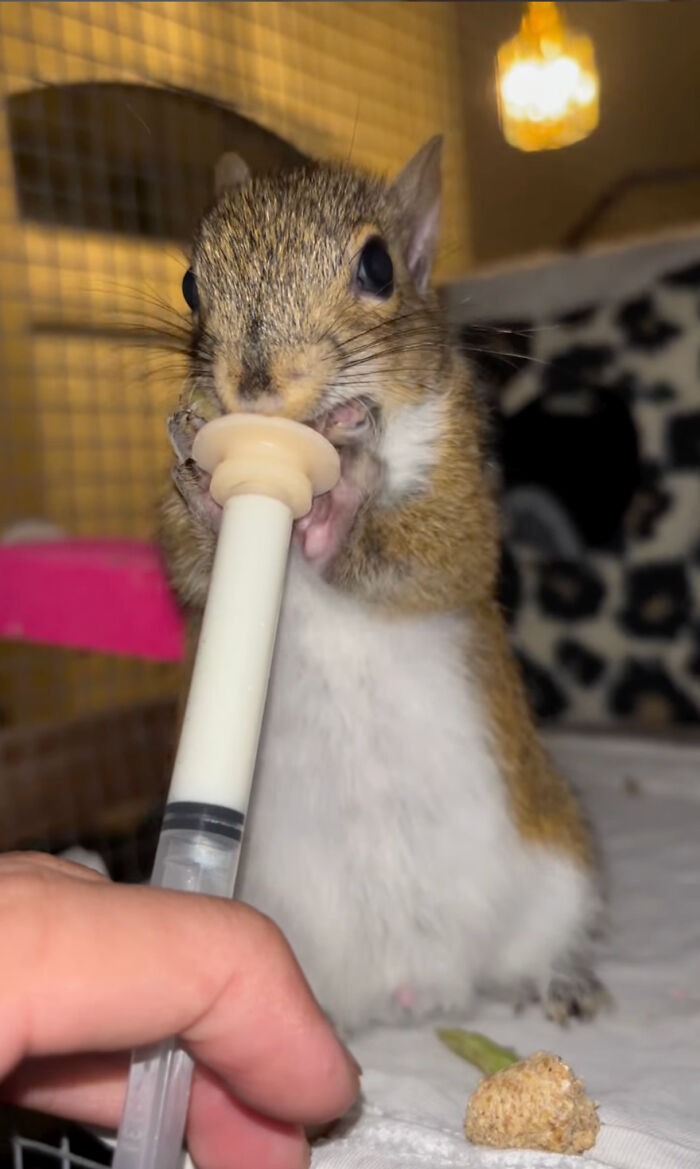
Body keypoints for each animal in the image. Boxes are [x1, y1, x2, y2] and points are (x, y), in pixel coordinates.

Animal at [158, 139, 607, 1033]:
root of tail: (417, 985)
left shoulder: (460, 507)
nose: (254, 383)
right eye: (191, 283)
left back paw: (560, 980)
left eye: (377, 266)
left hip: (560, 872)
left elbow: (437, 555)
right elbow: (191, 564)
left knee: (539, 945)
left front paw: (348, 492)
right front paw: (204, 490)